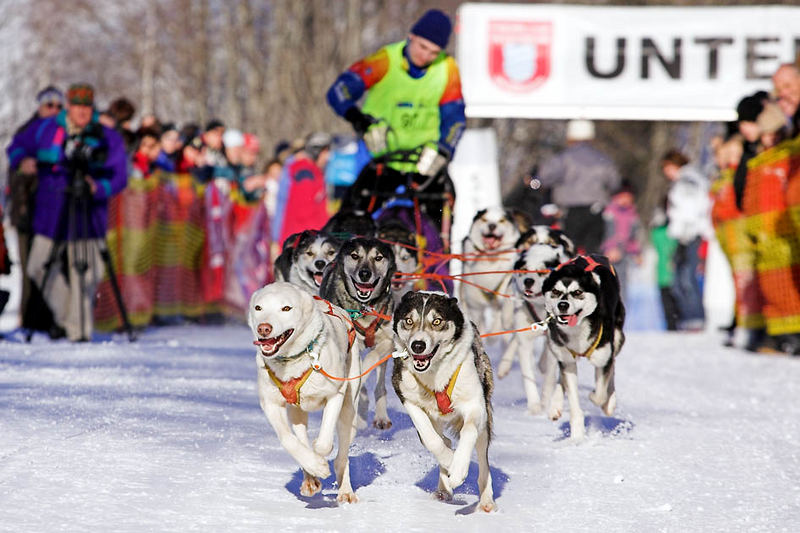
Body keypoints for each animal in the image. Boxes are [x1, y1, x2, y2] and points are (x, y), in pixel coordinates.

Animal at [252, 280, 360, 500]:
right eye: (258, 308)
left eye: (286, 308)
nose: (264, 328)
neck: (293, 361)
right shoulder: (271, 404)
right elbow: (288, 440)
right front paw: (315, 465)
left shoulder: (335, 392)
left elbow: (324, 442)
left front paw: (320, 453)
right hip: (297, 412)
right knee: (301, 437)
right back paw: (310, 478)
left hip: (349, 408)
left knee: (342, 454)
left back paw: (345, 490)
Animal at [392, 290, 496, 512]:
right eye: (409, 321)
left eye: (437, 321)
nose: (418, 345)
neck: (435, 375)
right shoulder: (407, 397)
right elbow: (432, 439)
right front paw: (450, 461)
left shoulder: (475, 405)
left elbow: (468, 431)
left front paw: (458, 469)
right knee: (442, 440)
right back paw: (444, 488)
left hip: (485, 421)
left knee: (482, 458)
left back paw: (486, 500)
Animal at [540, 254, 628, 440]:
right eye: (556, 292)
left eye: (577, 292)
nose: (563, 305)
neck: (577, 330)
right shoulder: (567, 361)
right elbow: (573, 398)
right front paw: (577, 436)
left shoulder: (602, 357)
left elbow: (600, 394)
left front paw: (598, 397)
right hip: (556, 347)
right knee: (562, 378)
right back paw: (555, 406)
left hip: (617, 338)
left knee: (612, 366)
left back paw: (610, 402)